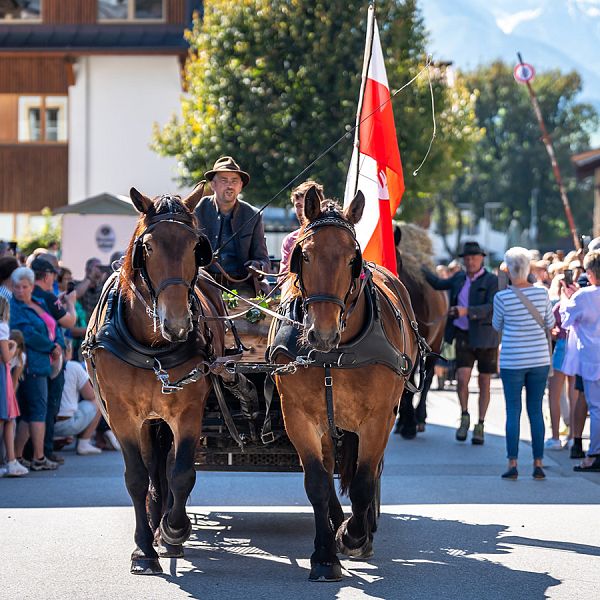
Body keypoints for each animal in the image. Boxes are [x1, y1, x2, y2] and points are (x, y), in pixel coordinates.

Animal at [84, 185, 225, 576]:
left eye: (195, 246)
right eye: (147, 247)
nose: (177, 323)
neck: (153, 347)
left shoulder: (188, 412)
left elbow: (182, 473)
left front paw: (175, 529)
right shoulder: (122, 416)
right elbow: (137, 477)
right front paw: (144, 549)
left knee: (168, 468)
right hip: (148, 420)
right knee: (152, 470)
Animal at [270, 189, 420, 580]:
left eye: (353, 258)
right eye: (305, 255)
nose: (321, 333)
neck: (334, 356)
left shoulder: (380, 418)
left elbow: (365, 481)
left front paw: (354, 537)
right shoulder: (299, 418)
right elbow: (317, 483)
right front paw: (325, 554)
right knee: (329, 469)